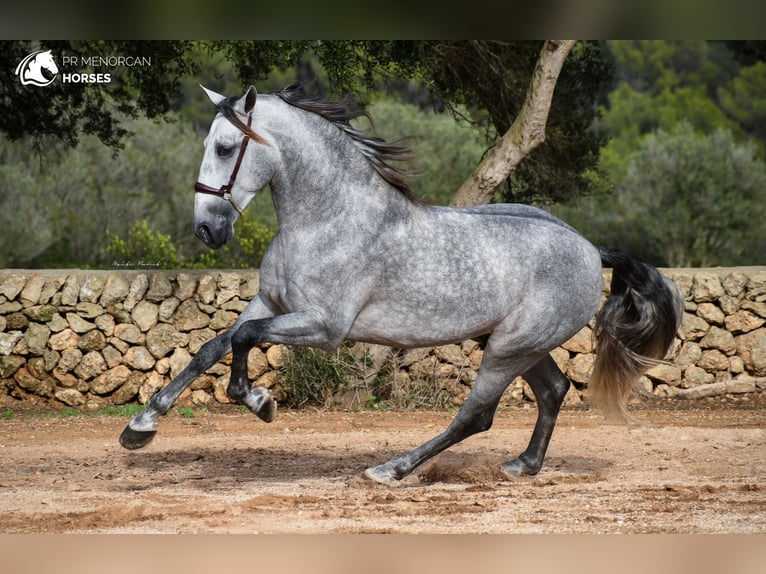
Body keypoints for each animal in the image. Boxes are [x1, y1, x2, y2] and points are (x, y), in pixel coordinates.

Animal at [120, 82, 684, 486]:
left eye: (224, 146)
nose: (207, 229)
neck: (326, 219)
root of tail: (590, 249)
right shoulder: (269, 302)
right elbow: (211, 347)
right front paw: (140, 427)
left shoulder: (324, 327)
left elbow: (241, 340)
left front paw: (258, 402)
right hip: (516, 343)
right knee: (553, 389)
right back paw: (523, 466)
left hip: (508, 348)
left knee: (476, 416)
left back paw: (391, 470)